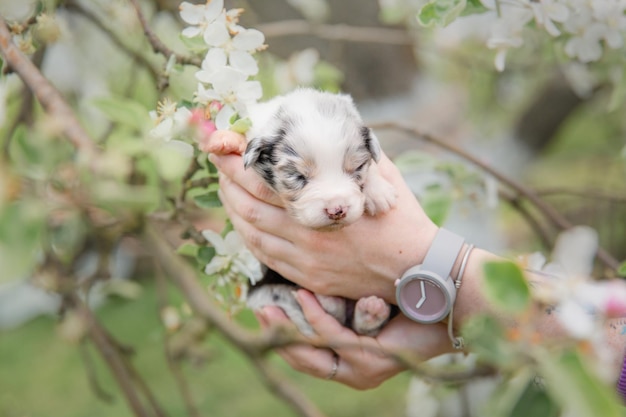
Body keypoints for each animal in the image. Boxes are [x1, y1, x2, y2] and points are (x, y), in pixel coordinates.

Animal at [240, 88, 394, 334]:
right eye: (297, 177)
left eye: (357, 168)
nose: (336, 210)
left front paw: (379, 193)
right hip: (266, 295)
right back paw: (329, 301)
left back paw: (370, 311)